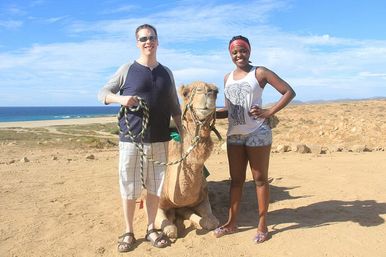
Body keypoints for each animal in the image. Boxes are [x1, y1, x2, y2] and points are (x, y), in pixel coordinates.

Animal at [155, 80, 220, 238]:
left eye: (216, 91)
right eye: (185, 93)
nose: (207, 91)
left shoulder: (202, 198)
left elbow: (211, 222)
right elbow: (170, 229)